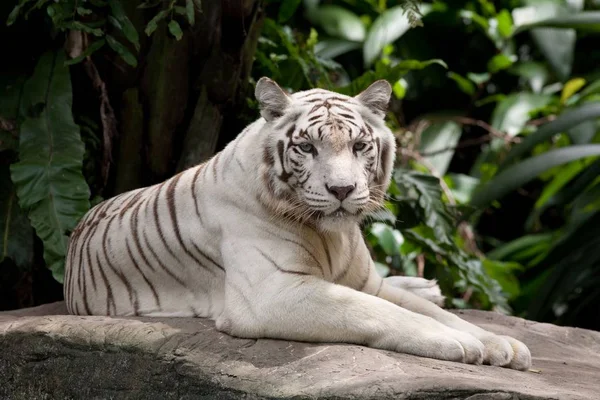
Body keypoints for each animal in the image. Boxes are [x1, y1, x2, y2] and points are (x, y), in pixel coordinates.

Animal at [63, 79, 532, 372]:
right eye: (307, 148)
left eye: (359, 146)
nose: (342, 189)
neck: (333, 235)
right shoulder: (271, 293)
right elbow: (379, 312)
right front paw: (462, 345)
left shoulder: (366, 282)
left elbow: (427, 310)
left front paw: (501, 343)